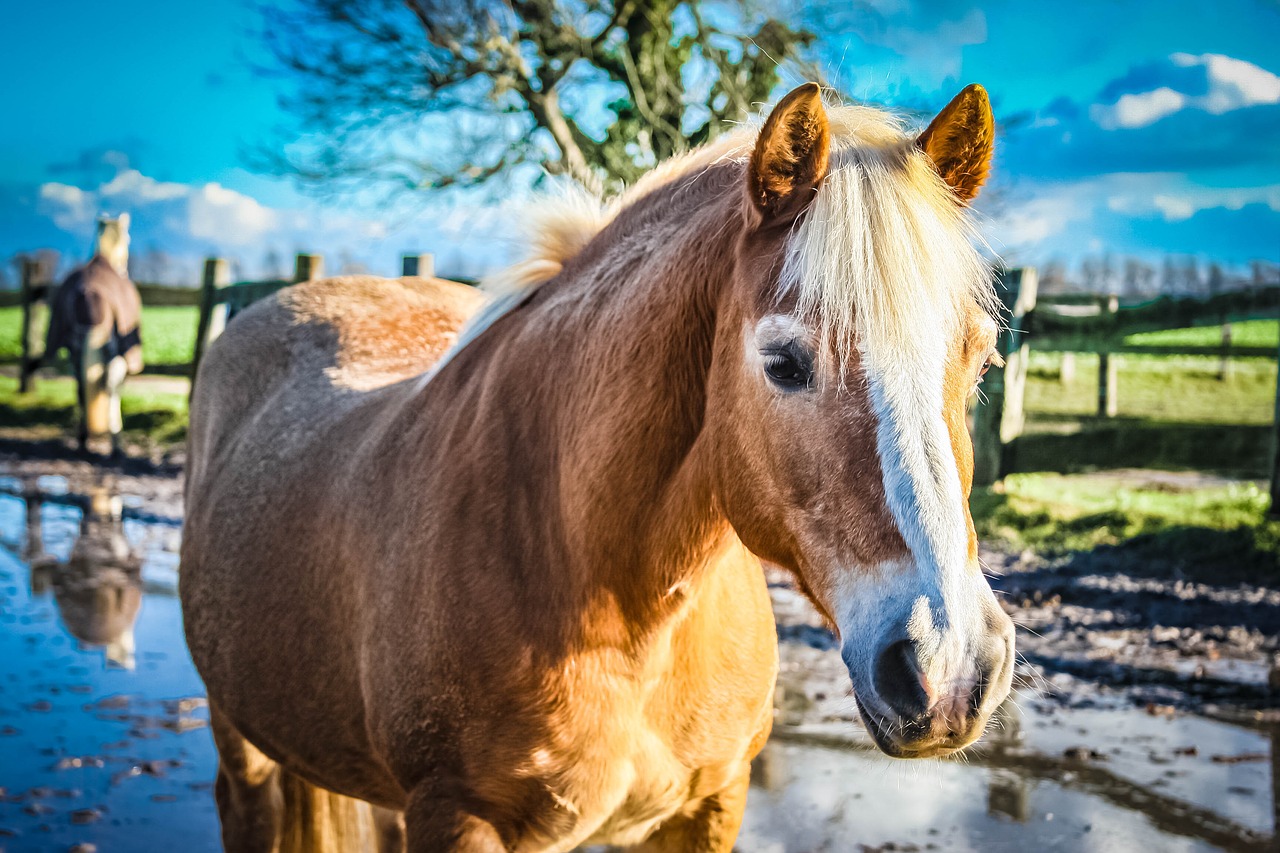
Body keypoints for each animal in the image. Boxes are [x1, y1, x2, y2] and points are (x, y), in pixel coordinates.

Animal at [183, 81, 1018, 850]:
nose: (948, 668)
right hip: (243, 748)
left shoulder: (712, 802)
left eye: (982, 358)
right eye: (784, 362)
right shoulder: (457, 816)